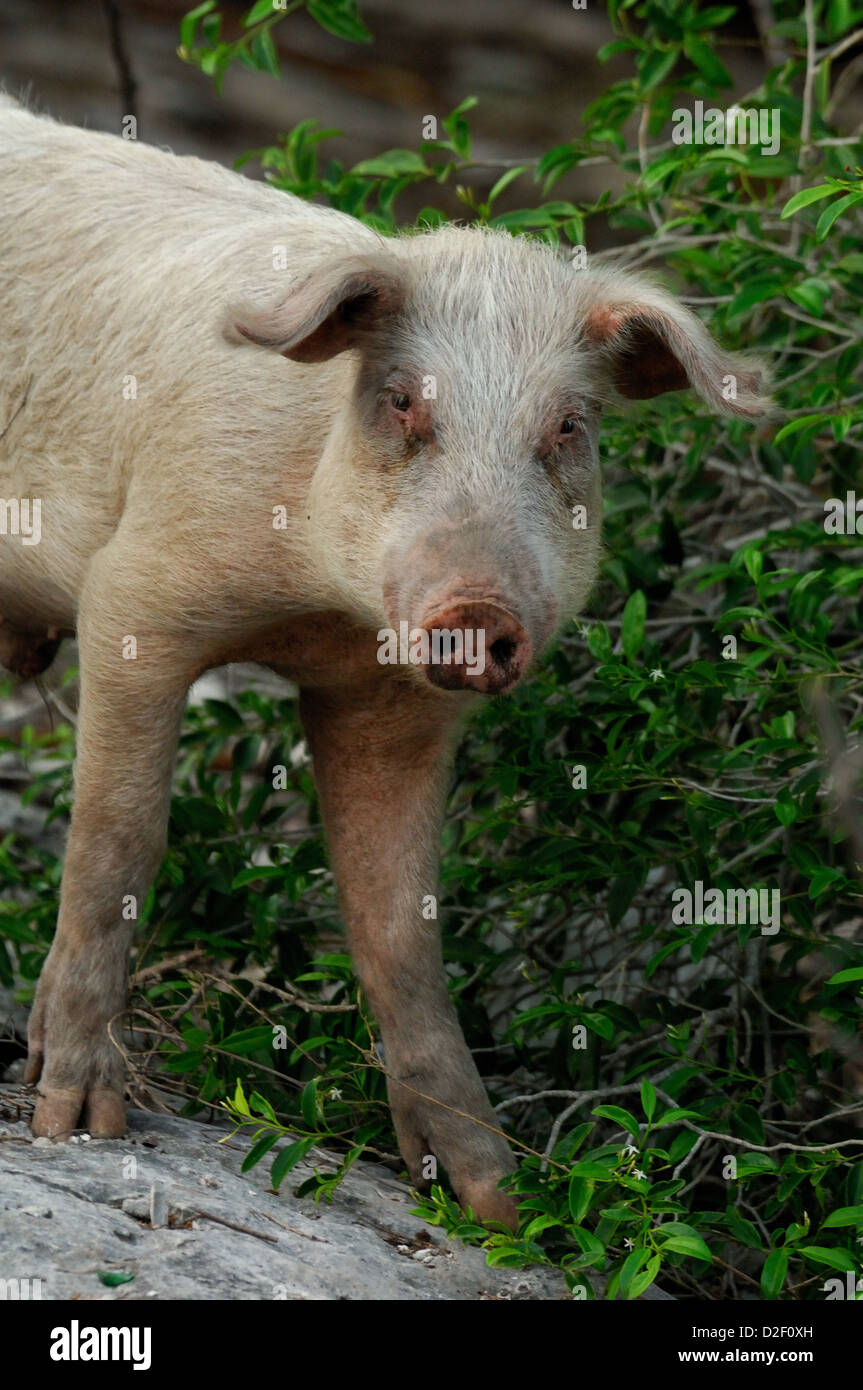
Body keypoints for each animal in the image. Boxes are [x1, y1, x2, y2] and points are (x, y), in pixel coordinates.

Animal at [0, 96, 769, 1229]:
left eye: (567, 426)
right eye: (404, 400)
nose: (475, 610)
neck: (322, 610)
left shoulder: (393, 703)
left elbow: (402, 927)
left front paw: (497, 1205)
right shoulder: (133, 594)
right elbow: (119, 840)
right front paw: (75, 1123)